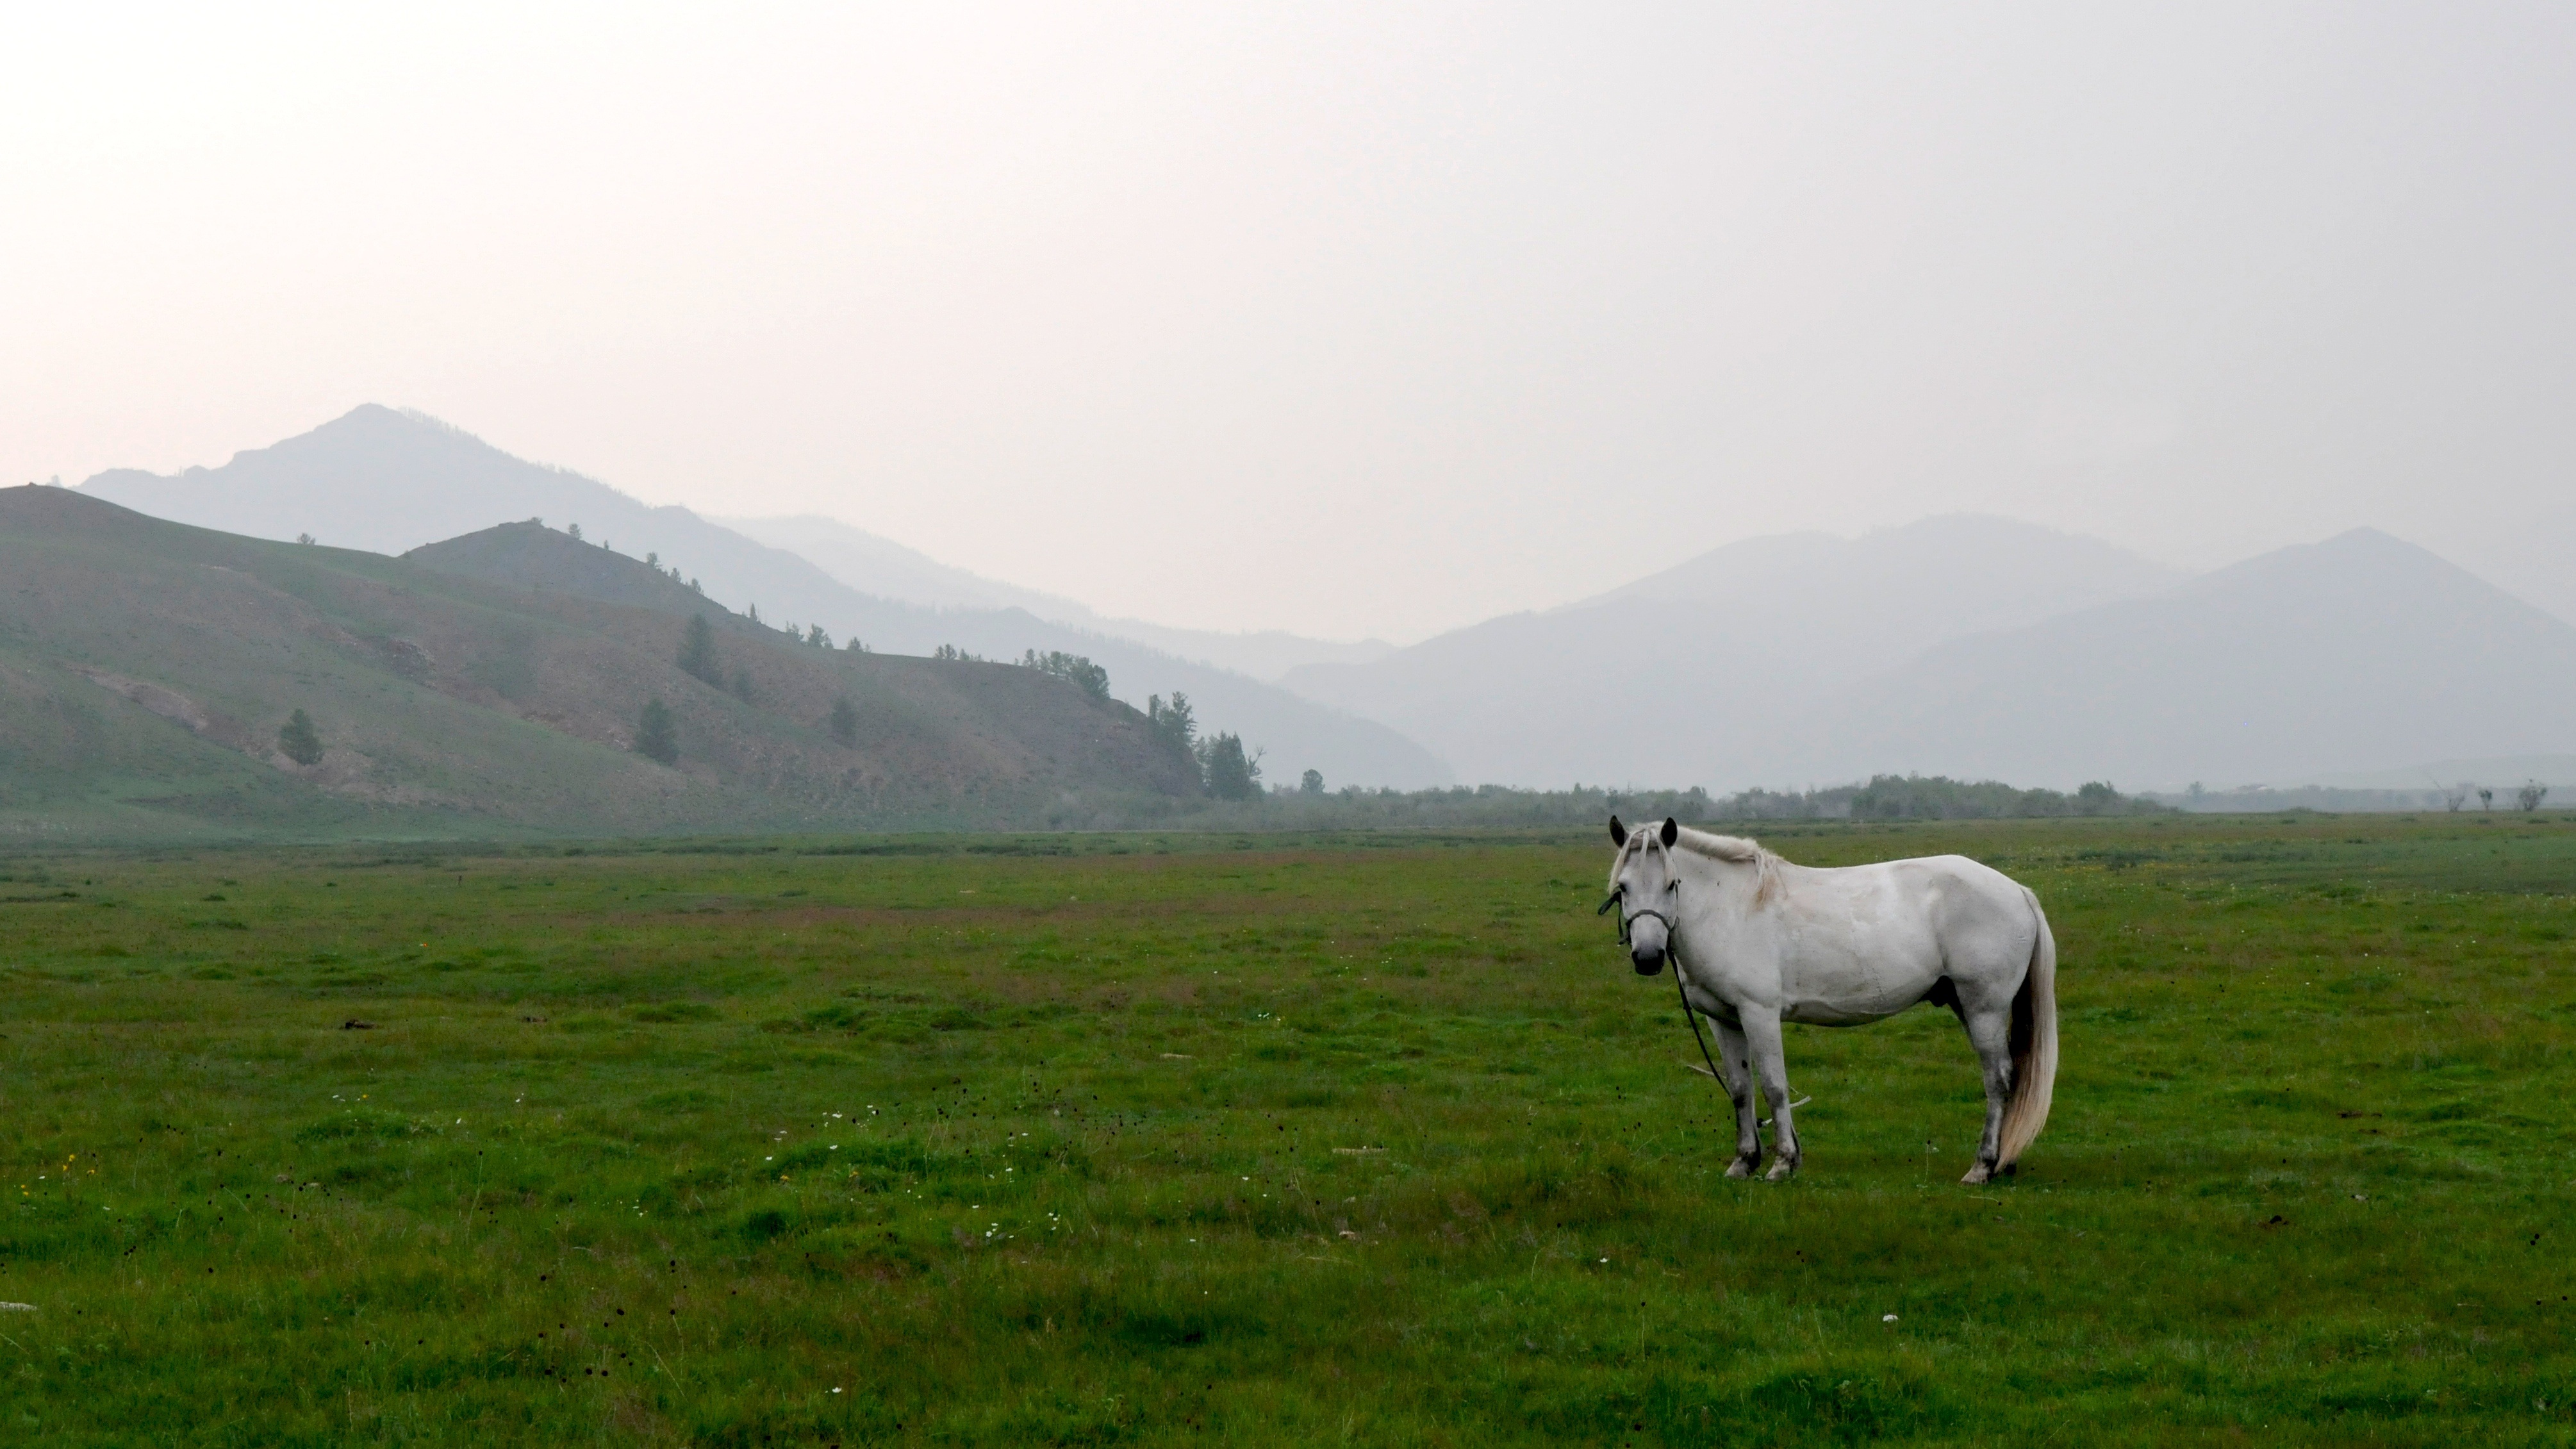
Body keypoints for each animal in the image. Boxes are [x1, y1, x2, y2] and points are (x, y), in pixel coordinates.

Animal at [1601, 816, 2057, 1183]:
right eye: (1622, 888)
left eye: (1671, 884)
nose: (1648, 958)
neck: (1730, 907)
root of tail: (2017, 889)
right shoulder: (1725, 1020)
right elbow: (1740, 1089)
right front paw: (1744, 1162)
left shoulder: (1759, 1013)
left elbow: (1775, 1086)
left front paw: (1783, 1163)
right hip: (1966, 1005)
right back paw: (2004, 1162)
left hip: (1984, 1008)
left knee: (1998, 1078)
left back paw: (1983, 1166)